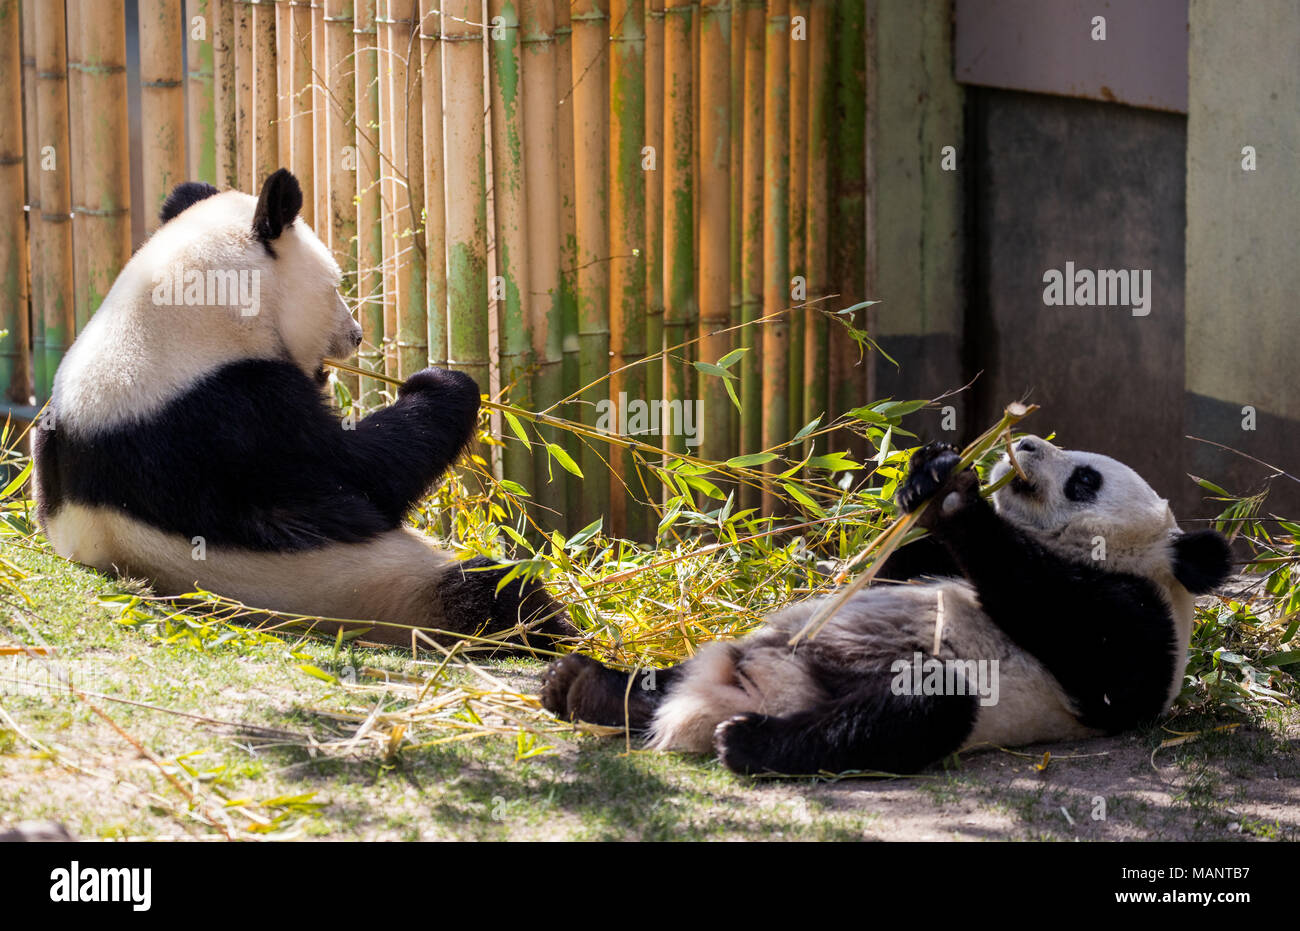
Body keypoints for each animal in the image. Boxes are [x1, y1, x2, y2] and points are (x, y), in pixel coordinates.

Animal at [33, 169, 571, 649]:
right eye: (335, 286)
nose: (356, 335)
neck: (171, 321)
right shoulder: (228, 415)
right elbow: (362, 477)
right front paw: (440, 384)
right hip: (381, 589)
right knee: (493, 592)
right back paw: (555, 629)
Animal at [540, 437, 1232, 775]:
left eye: (1086, 477)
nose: (1029, 441)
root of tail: (751, 690)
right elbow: (900, 564)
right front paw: (930, 472)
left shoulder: (1138, 622)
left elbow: (1078, 634)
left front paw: (954, 498)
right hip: (746, 648)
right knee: (670, 674)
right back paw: (582, 685)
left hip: (907, 693)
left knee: (912, 712)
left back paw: (748, 743)